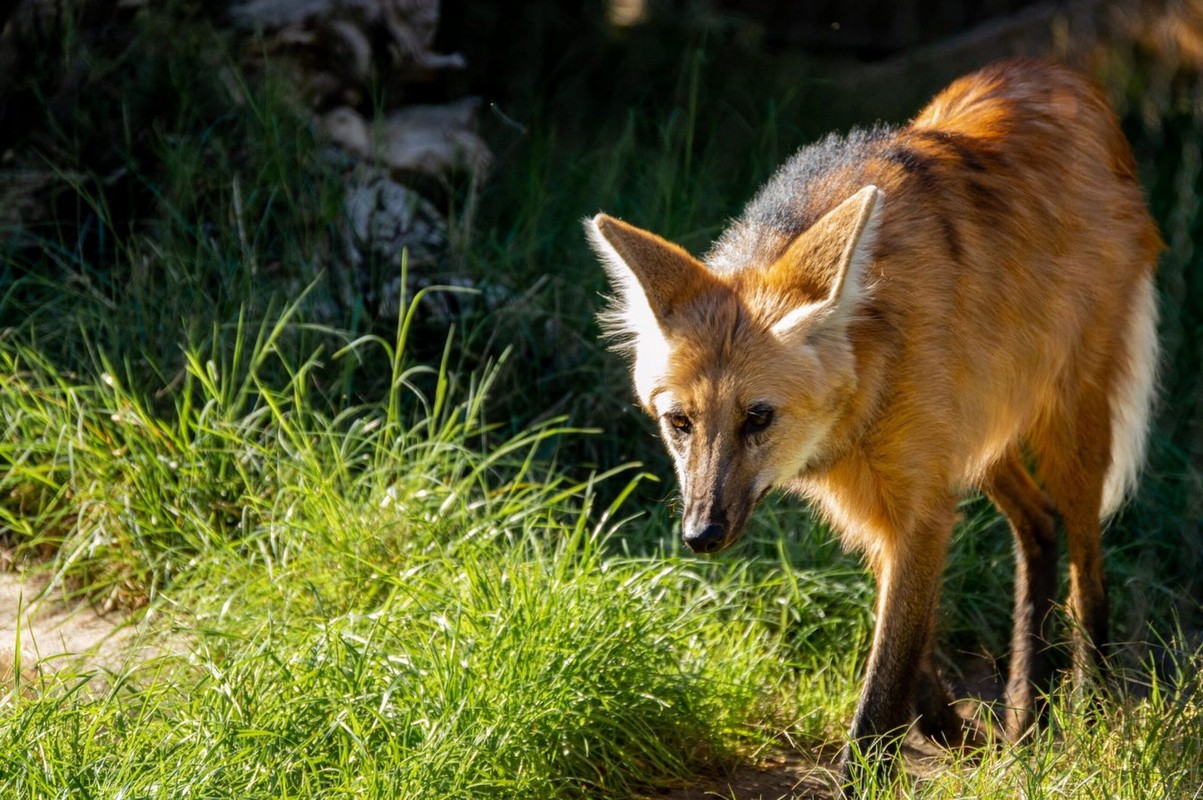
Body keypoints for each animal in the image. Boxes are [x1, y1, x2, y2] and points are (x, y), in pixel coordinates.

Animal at [587, 59, 1159, 784]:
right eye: (679, 422)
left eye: (758, 417)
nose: (701, 535)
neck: (867, 377)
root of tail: (1058, 72)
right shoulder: (880, 502)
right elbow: (910, 645)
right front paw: (956, 733)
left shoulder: (916, 503)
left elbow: (884, 677)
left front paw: (871, 767)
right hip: (981, 430)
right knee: (1038, 523)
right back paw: (1023, 712)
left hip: (1065, 422)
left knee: (1086, 560)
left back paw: (1089, 708)